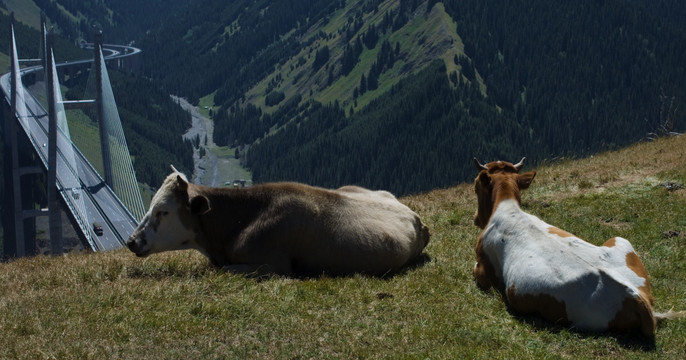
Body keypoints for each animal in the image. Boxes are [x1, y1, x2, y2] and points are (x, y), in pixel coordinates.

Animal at [470, 158, 684, 338]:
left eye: (475, 186)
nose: (475, 219)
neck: (508, 208)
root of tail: (639, 298)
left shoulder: (485, 271)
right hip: (620, 240)